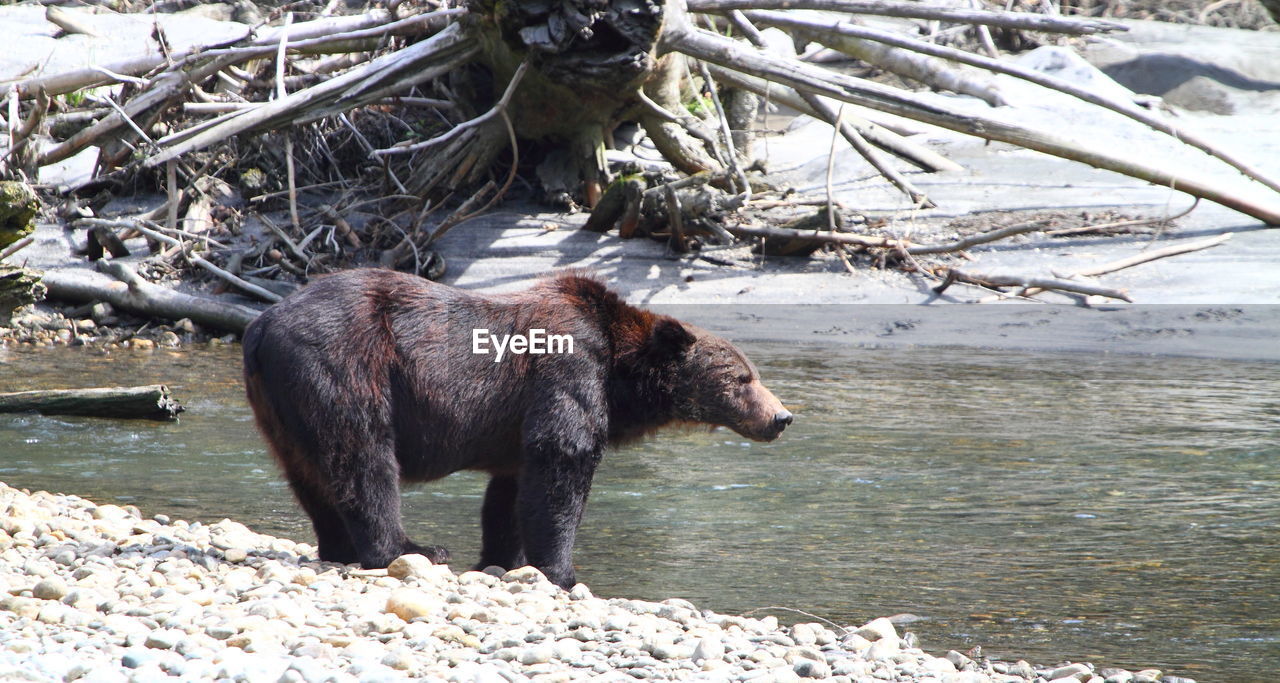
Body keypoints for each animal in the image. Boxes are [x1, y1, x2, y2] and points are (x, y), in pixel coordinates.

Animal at [241, 267, 788, 588]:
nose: (782, 417)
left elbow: (511, 492)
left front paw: (503, 557)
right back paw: (409, 547)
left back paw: (339, 546)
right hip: (344, 362)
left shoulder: (515, 426)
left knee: (307, 471)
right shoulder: (568, 368)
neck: (619, 371)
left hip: (278, 403)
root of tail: (262, 323)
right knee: (363, 456)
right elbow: (562, 461)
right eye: (742, 378)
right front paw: (562, 570)